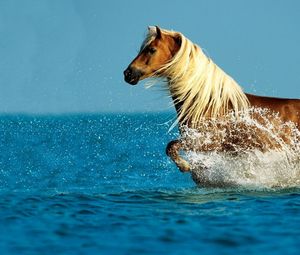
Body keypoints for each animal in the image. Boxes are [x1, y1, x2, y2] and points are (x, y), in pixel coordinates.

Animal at [122, 25, 300, 173]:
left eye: (151, 49)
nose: (128, 73)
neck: (208, 105)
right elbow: (170, 147)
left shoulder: (206, 143)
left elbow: (171, 146)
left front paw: (186, 166)